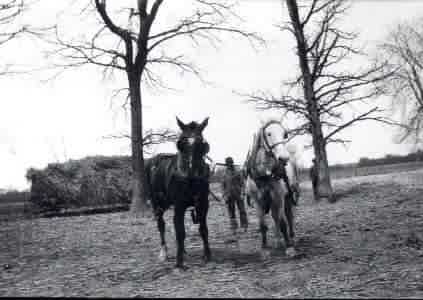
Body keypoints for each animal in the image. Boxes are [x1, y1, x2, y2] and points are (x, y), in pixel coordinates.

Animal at [146, 116, 212, 268]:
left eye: (202, 143)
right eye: (181, 142)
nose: (192, 171)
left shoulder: (203, 204)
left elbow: (203, 229)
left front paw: (207, 255)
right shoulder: (179, 206)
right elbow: (180, 232)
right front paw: (179, 261)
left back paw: (183, 250)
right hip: (157, 204)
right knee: (161, 225)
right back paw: (164, 252)